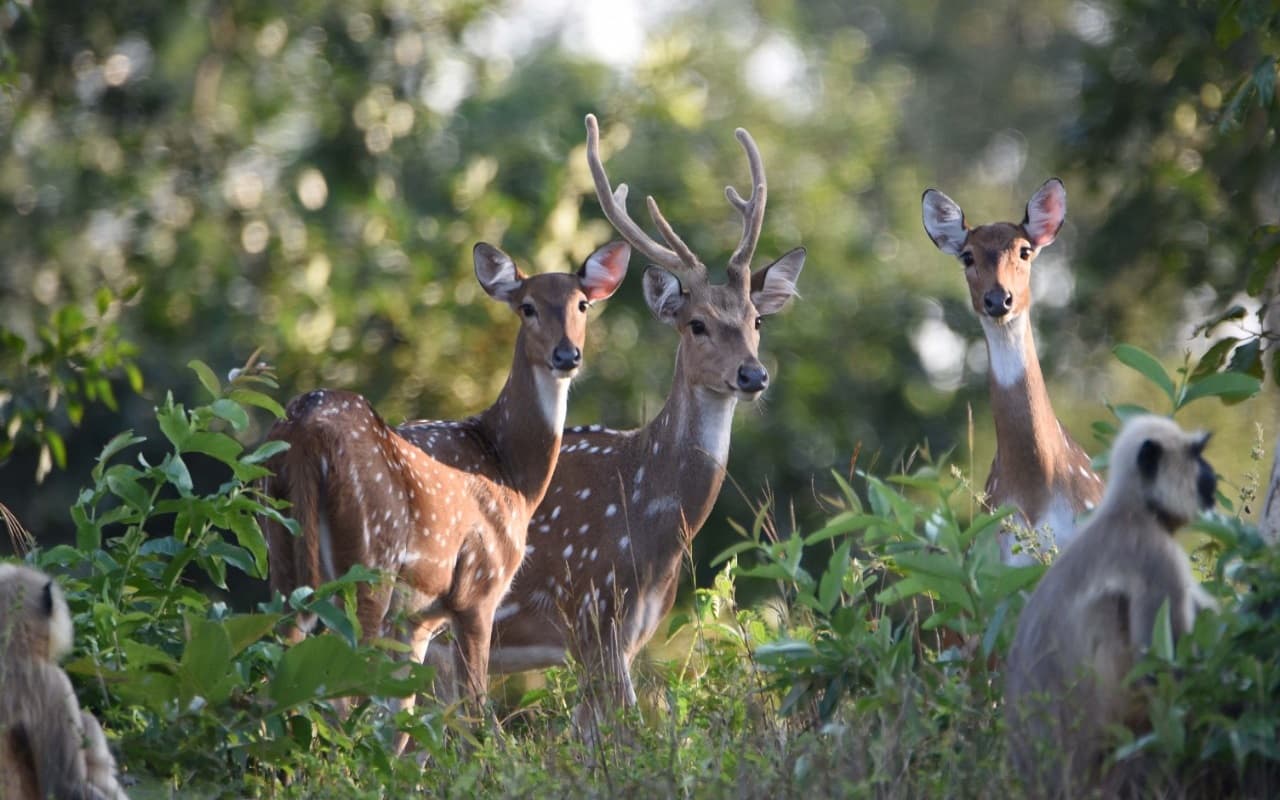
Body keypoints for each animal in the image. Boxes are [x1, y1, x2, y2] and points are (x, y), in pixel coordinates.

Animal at [261, 239, 629, 747]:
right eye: (527, 307)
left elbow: (402, 718)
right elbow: (475, 711)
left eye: (582, 305)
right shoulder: (479, 587)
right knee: (346, 684)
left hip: (281, 548)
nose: (566, 354)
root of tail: (304, 431)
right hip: (370, 557)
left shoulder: (418, 619)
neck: (511, 473)